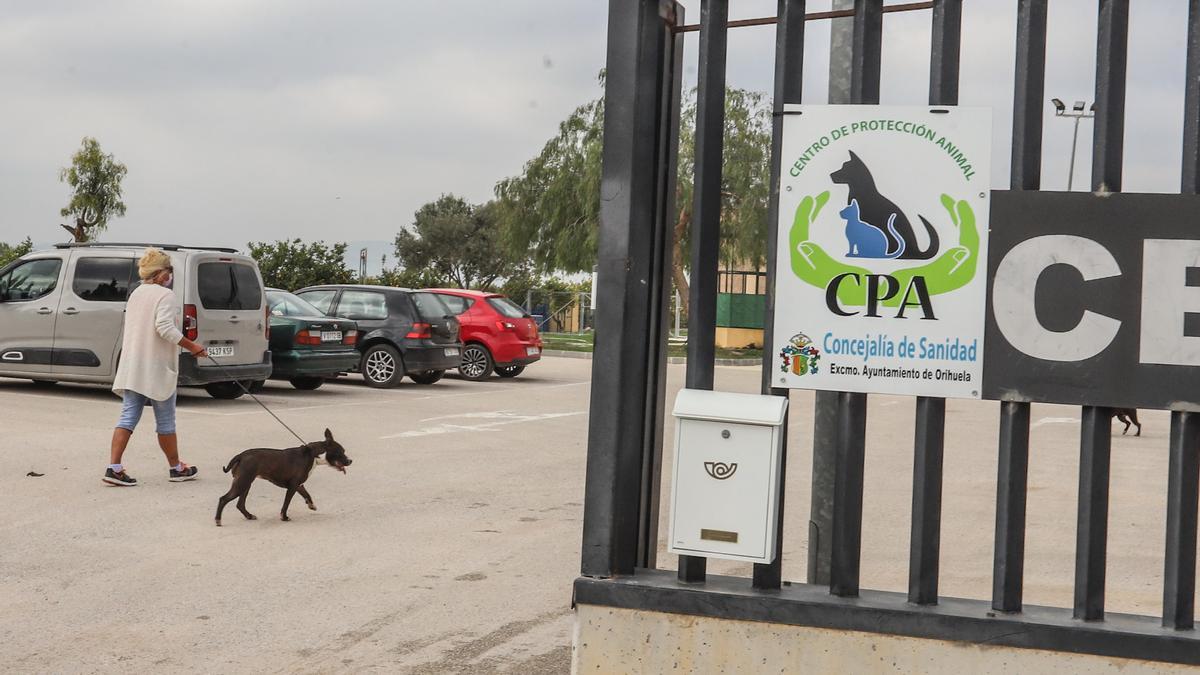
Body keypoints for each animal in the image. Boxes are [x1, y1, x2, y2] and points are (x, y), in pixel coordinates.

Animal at [216, 427, 350, 523]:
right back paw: (218, 520)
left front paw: (311, 505)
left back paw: (249, 516)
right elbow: (286, 503)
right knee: (223, 499)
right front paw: (284, 517)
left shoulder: (299, 485)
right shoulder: (292, 487)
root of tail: (241, 456)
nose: (350, 461)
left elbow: (307, 495)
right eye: (341, 452)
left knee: (240, 504)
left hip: (245, 484)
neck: (312, 454)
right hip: (242, 484)